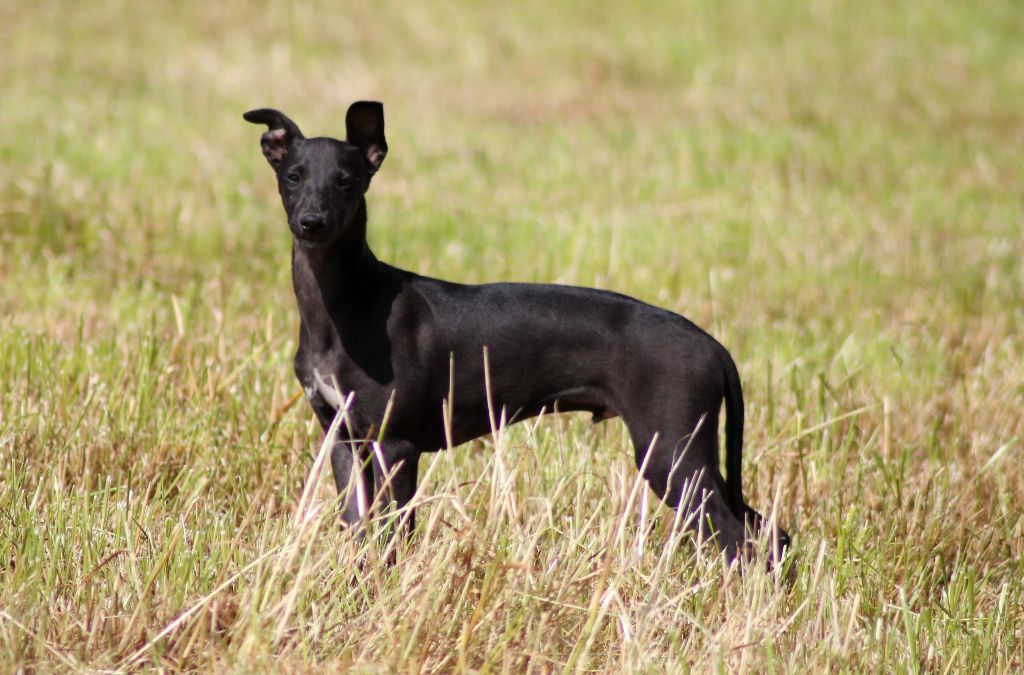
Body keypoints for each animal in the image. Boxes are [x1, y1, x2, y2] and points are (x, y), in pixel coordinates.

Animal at [243, 101, 786, 565]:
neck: (345, 305)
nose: (312, 223)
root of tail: (712, 345)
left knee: (742, 540)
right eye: (292, 177)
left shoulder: (395, 444)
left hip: (672, 454)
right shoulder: (343, 441)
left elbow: (393, 535)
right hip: (692, 456)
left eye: (346, 182)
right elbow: (359, 531)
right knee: (770, 533)